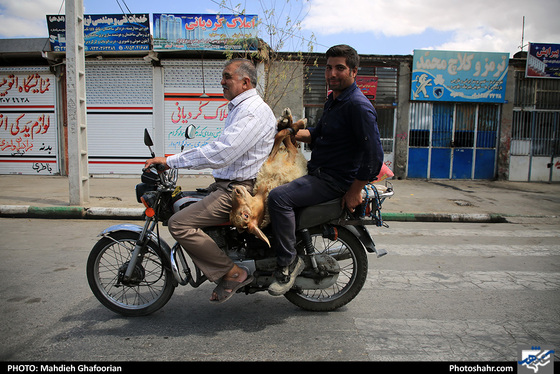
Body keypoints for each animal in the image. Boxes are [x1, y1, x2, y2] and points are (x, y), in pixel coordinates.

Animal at [231, 106, 308, 247]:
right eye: (245, 216)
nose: (236, 190)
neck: (264, 189)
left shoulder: (272, 159)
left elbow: (280, 137)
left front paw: (288, 124)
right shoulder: (291, 156)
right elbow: (281, 136)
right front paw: (292, 125)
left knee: (291, 139)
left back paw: (286, 120)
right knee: (289, 140)